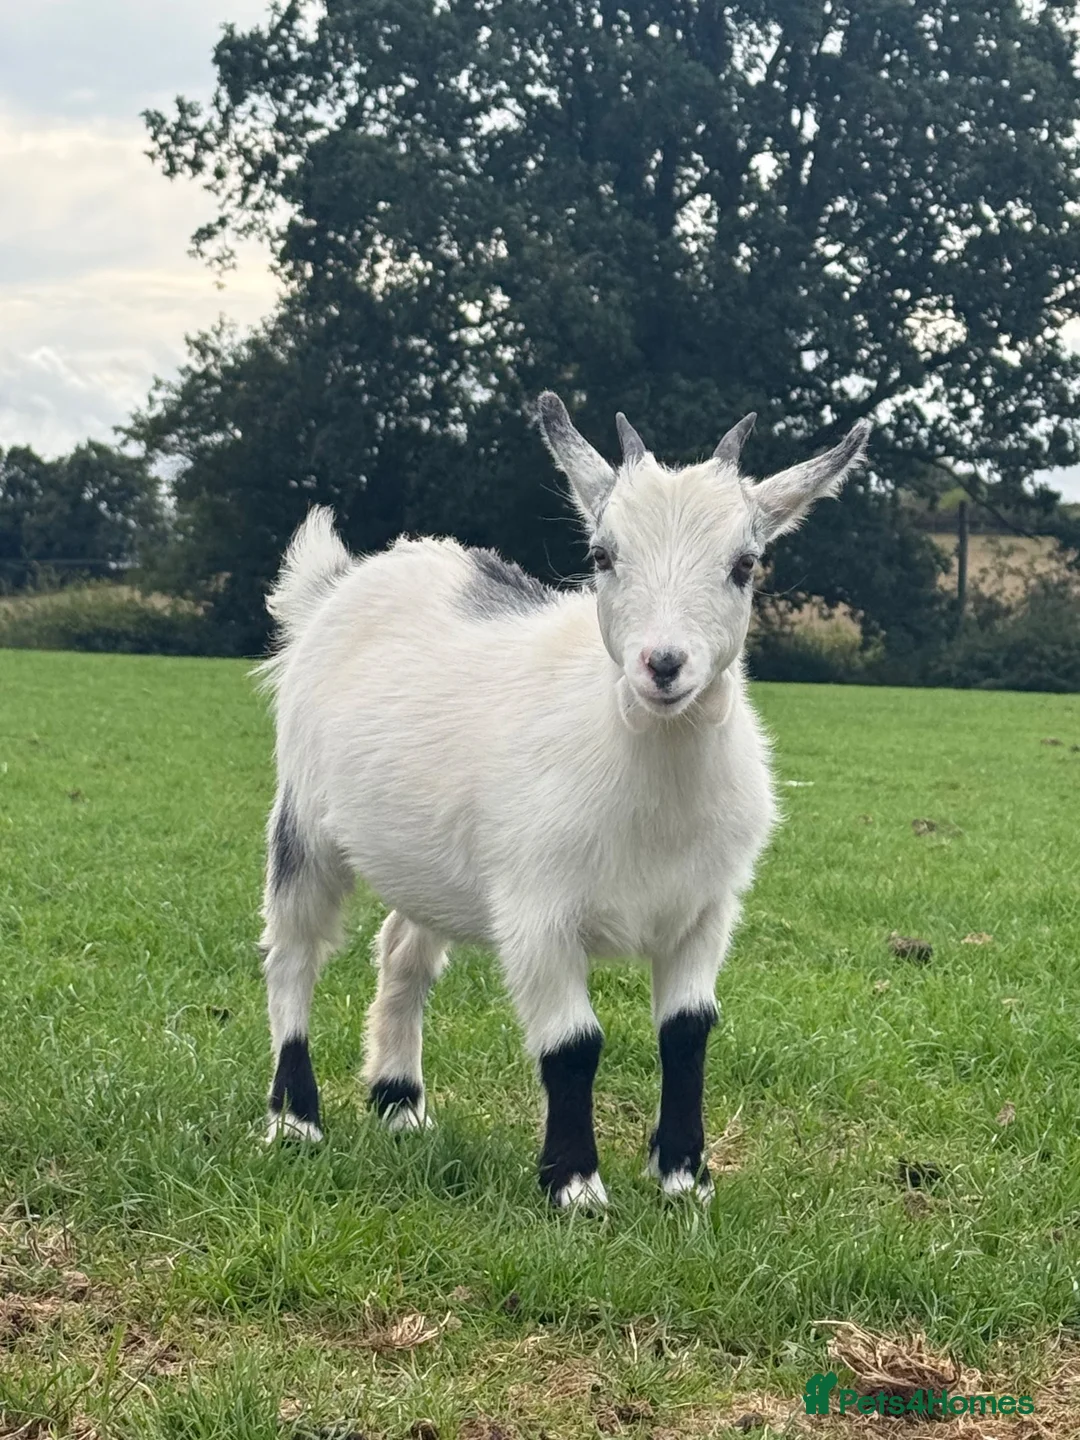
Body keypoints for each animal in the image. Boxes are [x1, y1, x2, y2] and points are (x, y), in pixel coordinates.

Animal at [257, 396, 869, 1207]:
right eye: (603, 555)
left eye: (745, 564)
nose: (663, 665)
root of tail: (338, 584)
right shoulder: (535, 910)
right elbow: (574, 1044)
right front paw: (575, 1186)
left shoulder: (706, 911)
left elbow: (688, 1032)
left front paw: (684, 1176)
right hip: (304, 817)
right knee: (293, 953)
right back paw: (296, 1118)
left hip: (432, 859)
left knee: (401, 952)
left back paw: (399, 1103)